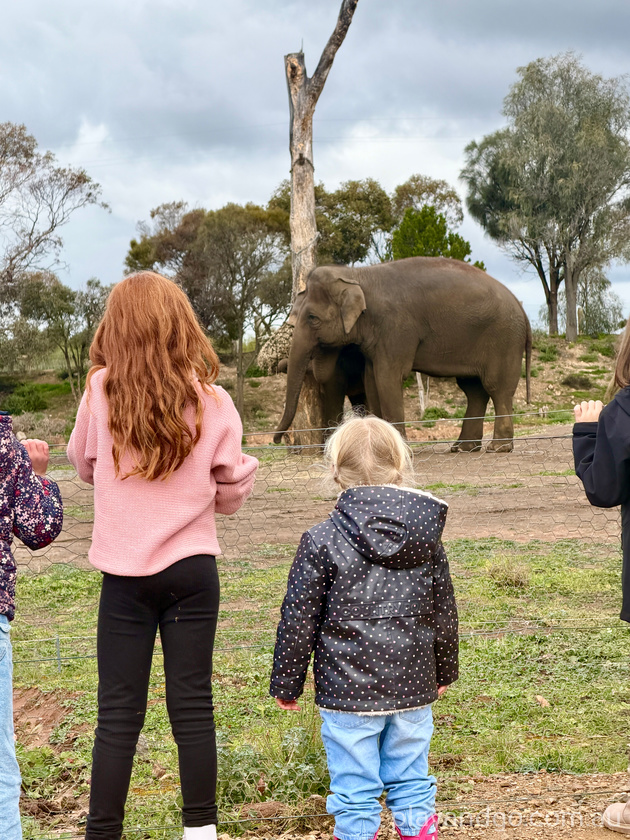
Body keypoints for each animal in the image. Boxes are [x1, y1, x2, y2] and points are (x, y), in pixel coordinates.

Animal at [274, 256, 532, 451]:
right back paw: (463, 448)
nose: (277, 440)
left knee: (497, 388)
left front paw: (401, 447)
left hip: (504, 340)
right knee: (474, 390)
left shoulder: (395, 328)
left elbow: (387, 378)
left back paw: (497, 448)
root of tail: (523, 310)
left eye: (312, 318)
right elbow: (372, 380)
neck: (358, 275)